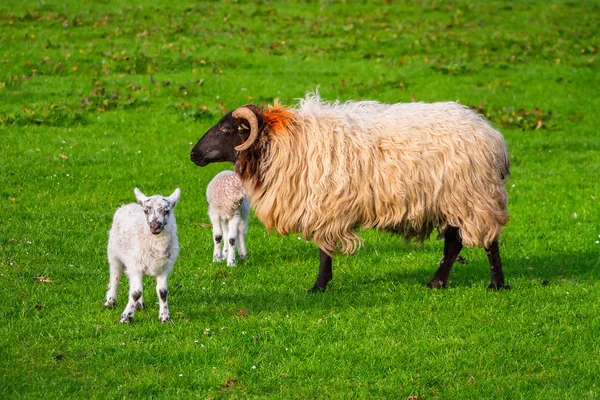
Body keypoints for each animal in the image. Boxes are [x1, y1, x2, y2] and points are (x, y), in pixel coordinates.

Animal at [103, 188, 180, 324]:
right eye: (146, 210)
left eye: (167, 210)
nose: (154, 226)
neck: (157, 246)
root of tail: (129, 204)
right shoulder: (135, 266)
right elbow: (136, 292)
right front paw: (126, 318)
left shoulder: (164, 268)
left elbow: (162, 292)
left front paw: (165, 317)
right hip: (114, 253)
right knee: (115, 277)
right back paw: (110, 302)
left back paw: (139, 305)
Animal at [190, 94, 508, 294]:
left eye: (226, 128)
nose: (193, 154)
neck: (281, 143)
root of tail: (492, 136)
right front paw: (321, 284)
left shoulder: (324, 206)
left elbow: (324, 251)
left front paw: (318, 286)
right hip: (452, 200)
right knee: (454, 244)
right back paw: (437, 283)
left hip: (474, 196)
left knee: (489, 241)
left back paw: (497, 285)